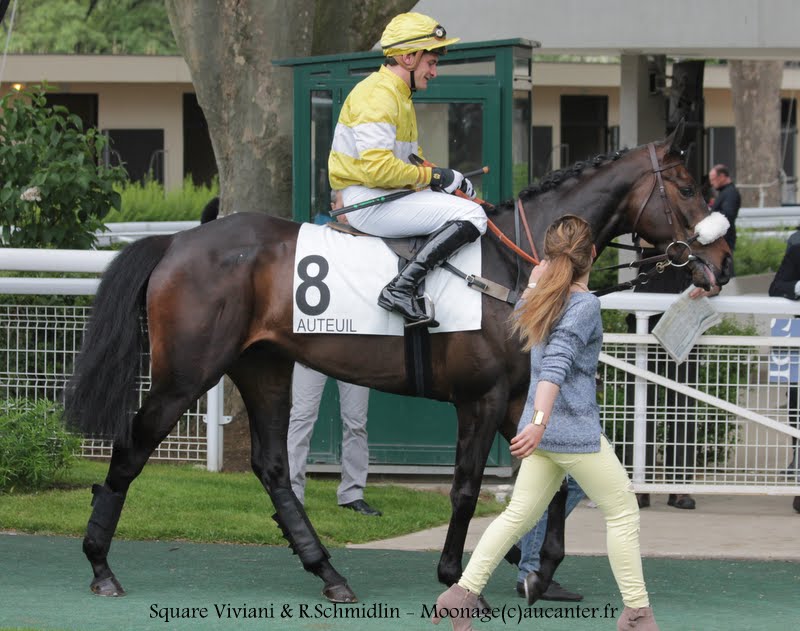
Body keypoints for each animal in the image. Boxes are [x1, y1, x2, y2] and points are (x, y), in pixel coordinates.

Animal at [64, 123, 732, 604]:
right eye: (688, 188)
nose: (723, 262)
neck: (522, 263)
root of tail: (176, 241)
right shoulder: (482, 397)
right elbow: (466, 487)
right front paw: (455, 573)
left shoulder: (523, 396)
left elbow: (555, 482)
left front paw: (539, 574)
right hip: (186, 374)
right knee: (132, 447)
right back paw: (99, 565)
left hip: (265, 367)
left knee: (273, 466)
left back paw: (328, 572)